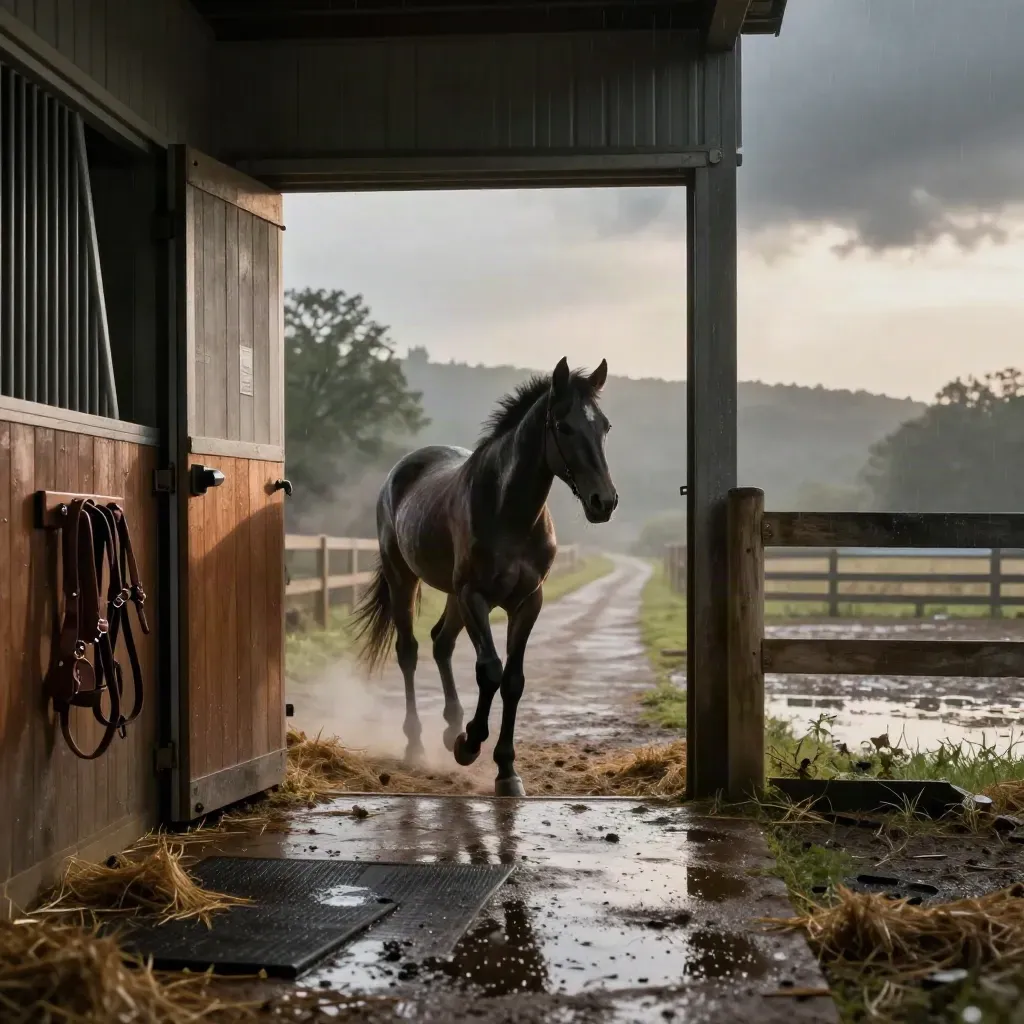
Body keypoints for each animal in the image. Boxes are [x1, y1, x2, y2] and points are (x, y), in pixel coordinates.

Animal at [352, 356, 618, 796]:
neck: (507, 511)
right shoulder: (475, 596)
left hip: (453, 596)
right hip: (405, 578)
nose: (604, 501)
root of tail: (400, 472)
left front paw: (506, 770)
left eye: (605, 427)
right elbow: (490, 669)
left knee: (441, 643)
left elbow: (513, 680)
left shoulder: (527, 601)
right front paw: (470, 743)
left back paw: (450, 727)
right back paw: (417, 744)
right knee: (409, 651)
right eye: (564, 426)